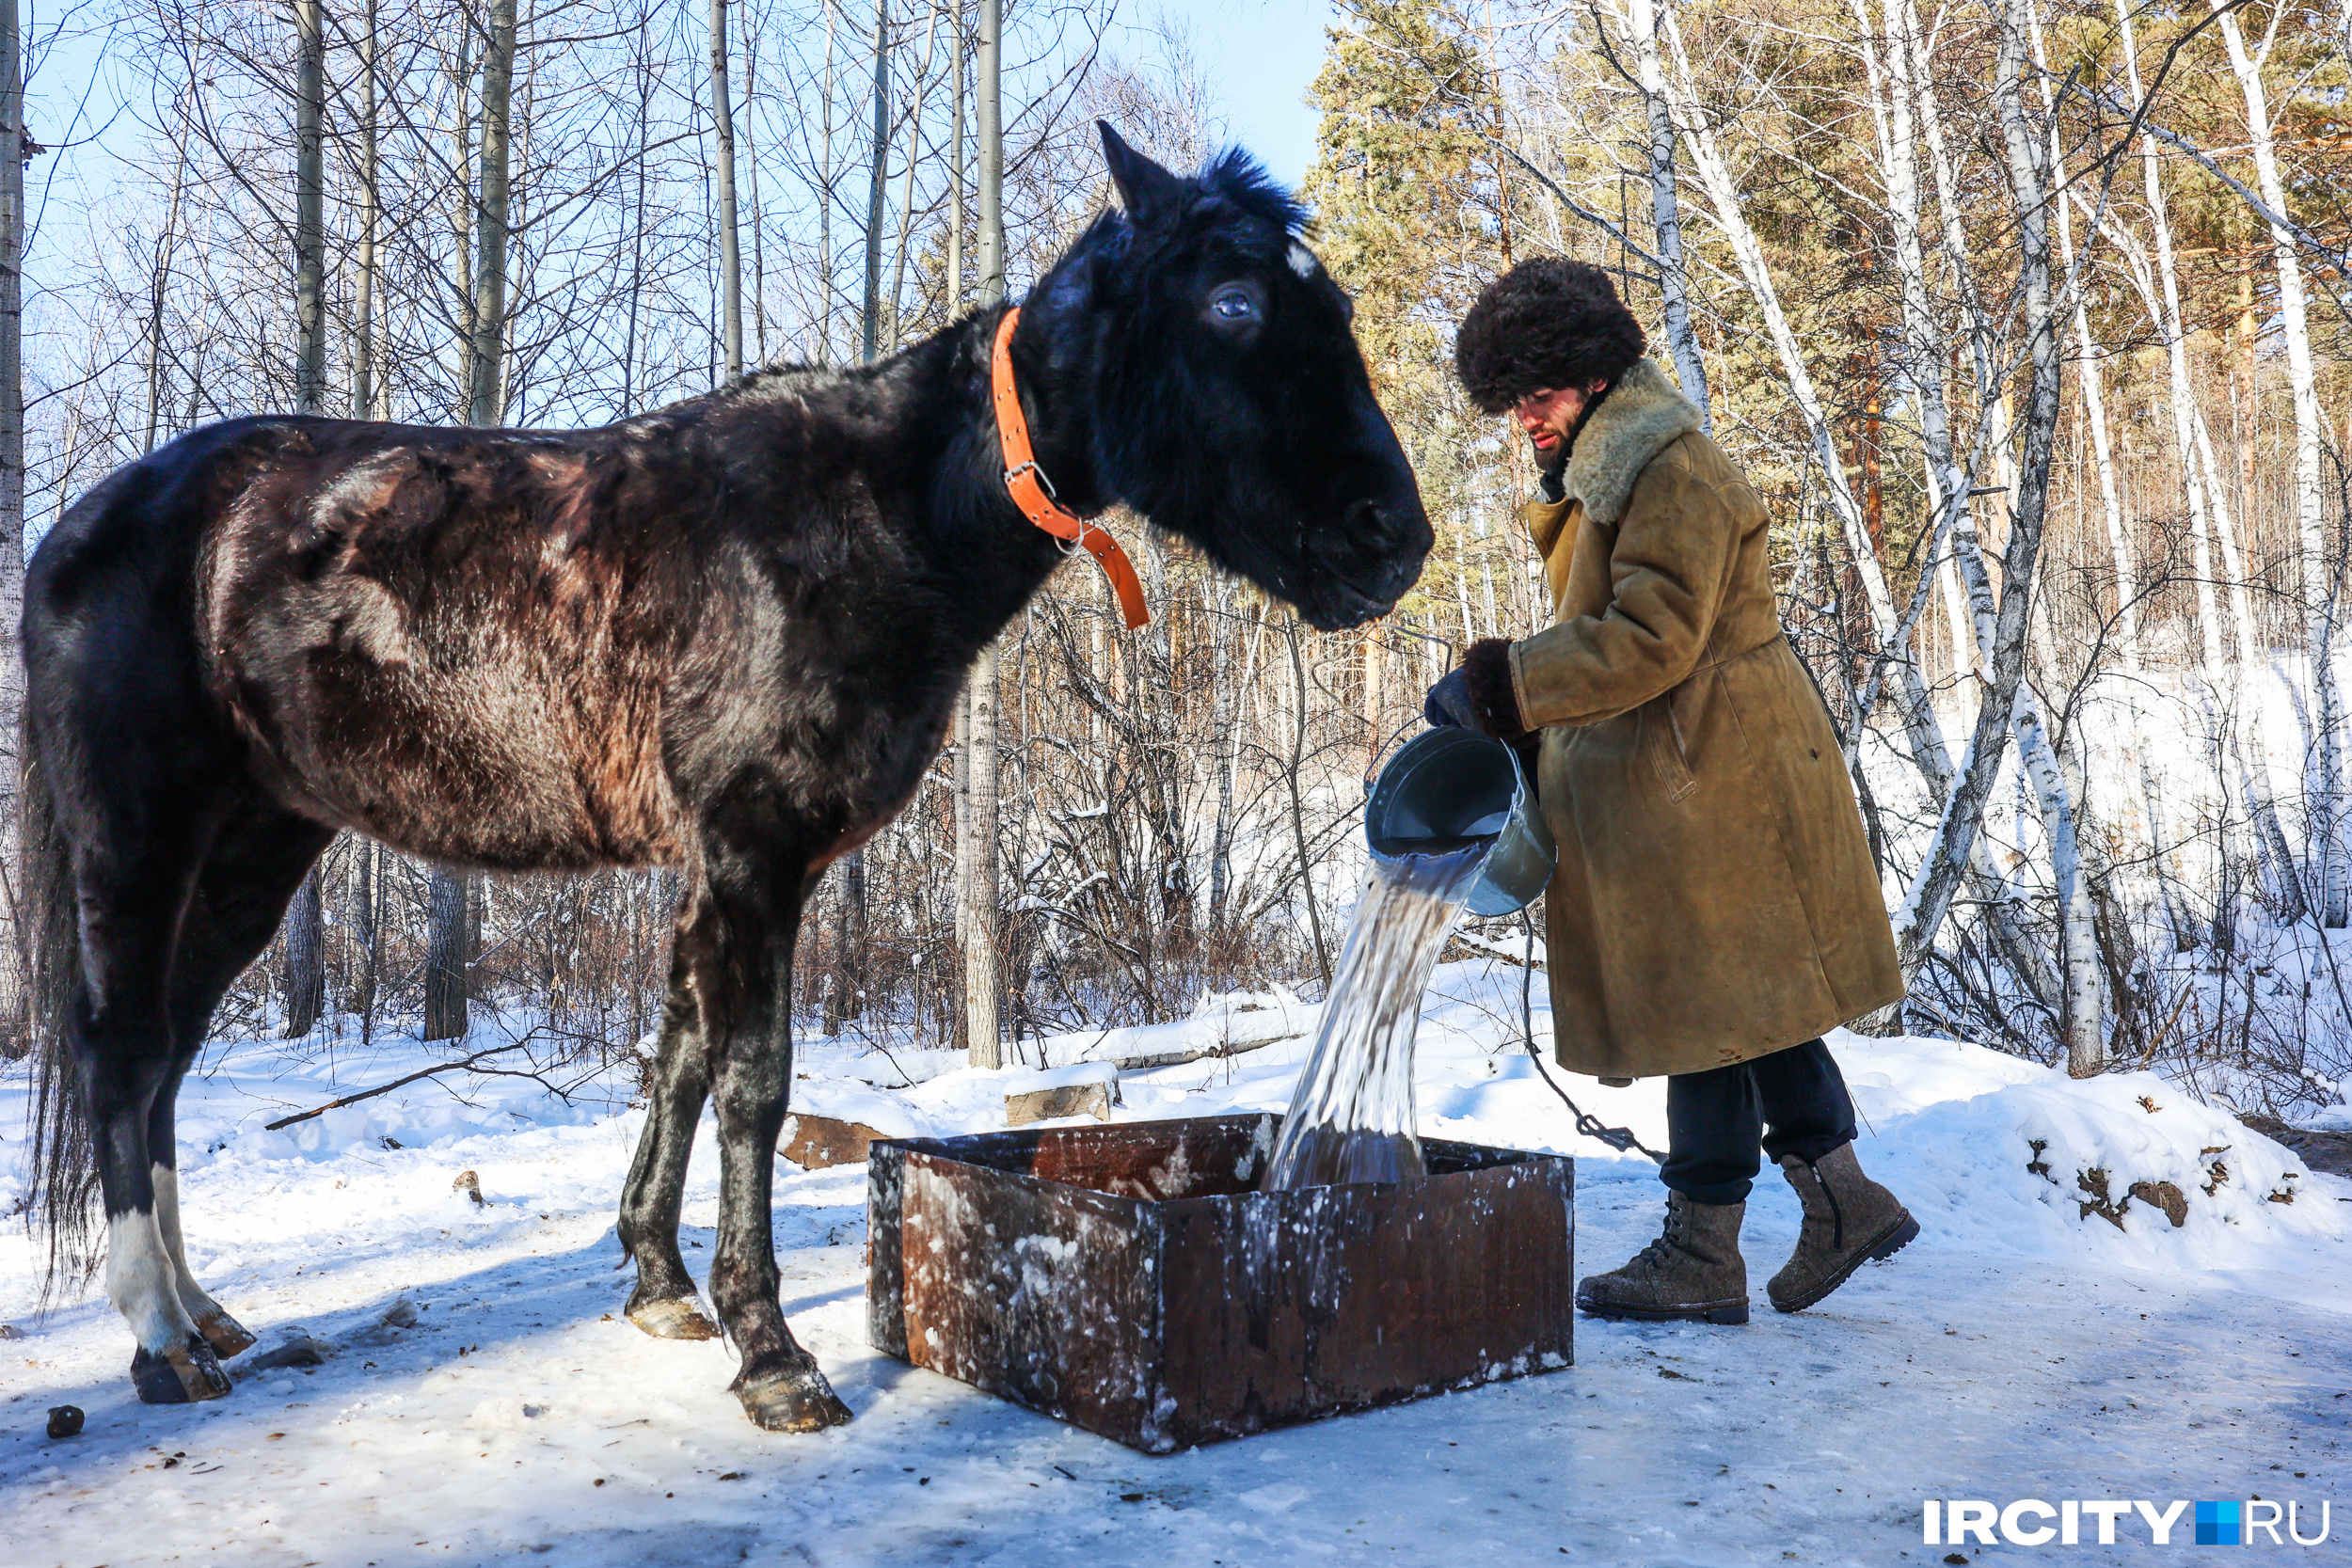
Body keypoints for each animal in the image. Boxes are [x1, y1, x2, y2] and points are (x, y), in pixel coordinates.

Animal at [23, 131, 1430, 1438]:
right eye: (1234, 304)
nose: (1393, 536)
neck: (872, 523)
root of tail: (80, 530)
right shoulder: (756, 849)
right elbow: (754, 1080)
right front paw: (773, 1353)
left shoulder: (723, 863)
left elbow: (681, 1058)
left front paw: (658, 1281)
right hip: (142, 839)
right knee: (120, 1045)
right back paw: (161, 1338)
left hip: (256, 848)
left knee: (165, 1055)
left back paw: (205, 1310)